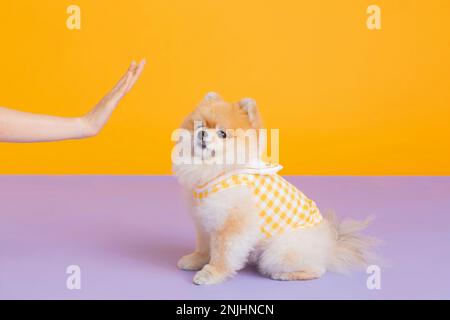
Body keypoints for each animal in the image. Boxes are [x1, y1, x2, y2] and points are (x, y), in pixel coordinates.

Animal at [172, 92, 376, 284]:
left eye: (222, 134)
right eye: (199, 125)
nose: (202, 133)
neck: (215, 169)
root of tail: (330, 247)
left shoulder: (231, 224)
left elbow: (223, 253)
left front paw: (212, 273)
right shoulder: (205, 220)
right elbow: (205, 246)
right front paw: (196, 260)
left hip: (279, 251)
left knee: (316, 270)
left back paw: (284, 275)